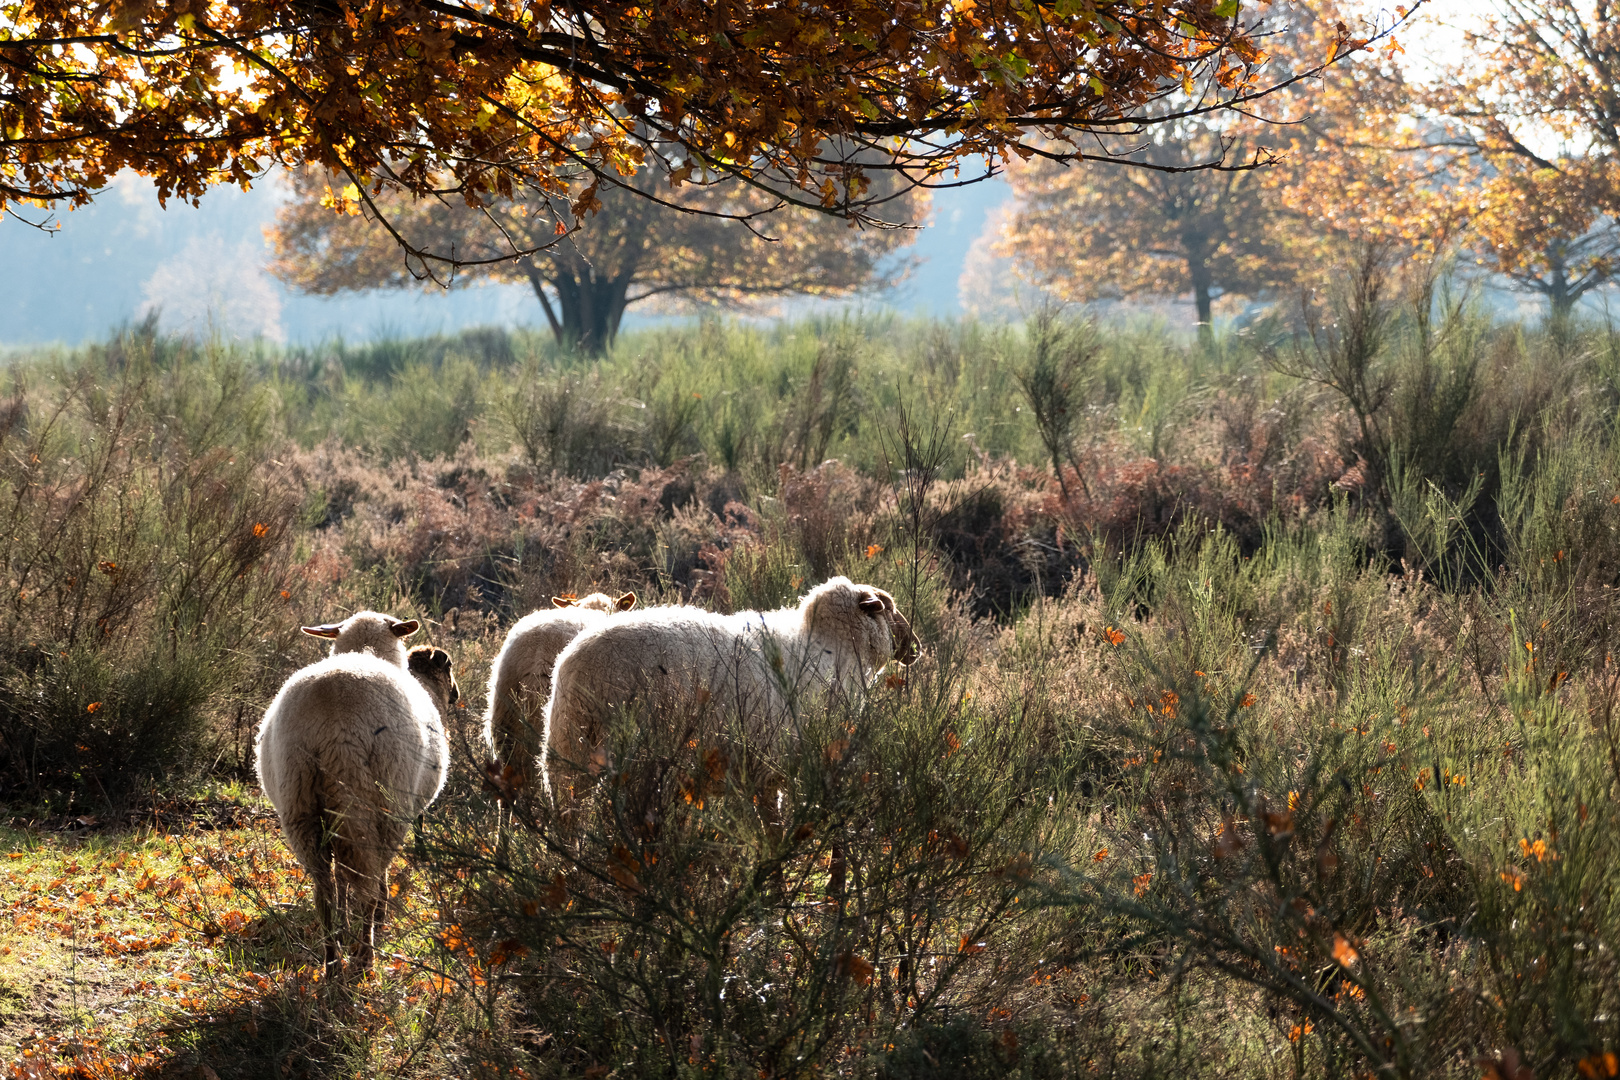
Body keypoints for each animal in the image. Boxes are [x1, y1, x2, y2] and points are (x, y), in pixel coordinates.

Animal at [254, 612, 456, 977]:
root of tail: (334, 722)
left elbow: (341, 879)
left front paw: (346, 926)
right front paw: (377, 919)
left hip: (299, 805)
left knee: (325, 890)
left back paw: (333, 958)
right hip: (382, 802)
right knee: (369, 882)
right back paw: (365, 954)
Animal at [544, 579, 920, 835]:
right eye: (888, 608)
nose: (915, 647)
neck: (834, 645)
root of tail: (579, 666)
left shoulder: (764, 769)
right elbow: (775, 824)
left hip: (566, 749)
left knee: (567, 815)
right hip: (642, 760)